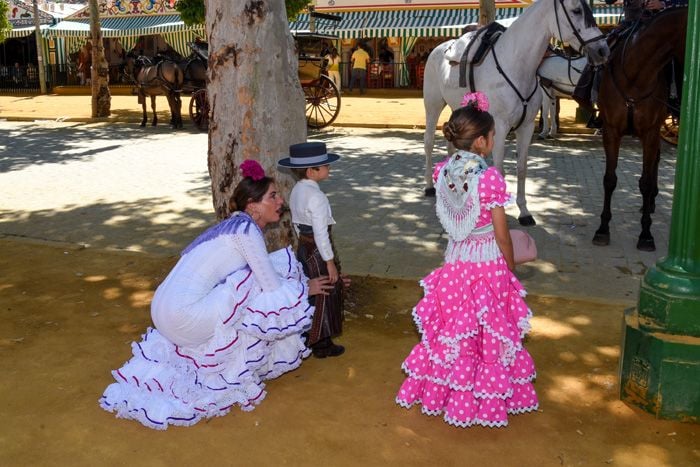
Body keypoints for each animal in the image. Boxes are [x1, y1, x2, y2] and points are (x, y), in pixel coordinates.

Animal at [424, 0, 608, 227]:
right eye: (576, 10)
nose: (603, 50)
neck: (515, 64)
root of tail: (440, 49)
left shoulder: (526, 127)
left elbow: (521, 168)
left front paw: (524, 212)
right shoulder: (500, 128)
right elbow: (500, 170)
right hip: (432, 106)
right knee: (429, 143)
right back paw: (429, 187)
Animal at [592, 7, 688, 250]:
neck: (635, 75)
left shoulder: (651, 132)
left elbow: (644, 181)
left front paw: (646, 234)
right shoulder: (611, 131)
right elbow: (609, 179)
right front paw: (603, 229)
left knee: (655, 163)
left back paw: (651, 202)